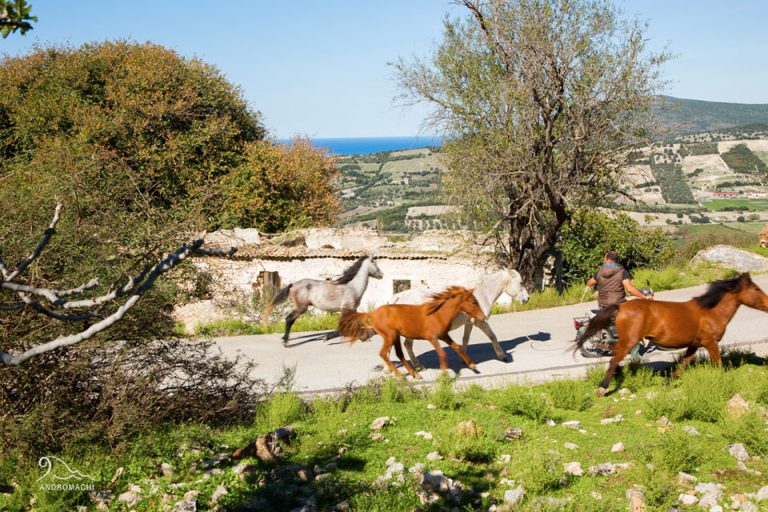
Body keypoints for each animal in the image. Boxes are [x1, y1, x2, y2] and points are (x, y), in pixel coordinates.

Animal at [338, 286, 486, 380]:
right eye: (474, 302)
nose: (483, 317)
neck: (437, 313)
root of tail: (372, 313)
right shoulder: (432, 338)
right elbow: (442, 354)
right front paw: (444, 374)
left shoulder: (444, 335)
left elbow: (457, 347)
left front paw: (472, 365)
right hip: (390, 336)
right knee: (384, 353)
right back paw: (401, 375)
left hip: (395, 336)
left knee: (399, 354)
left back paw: (415, 374)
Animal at [389, 269, 529, 368]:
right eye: (521, 283)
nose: (527, 298)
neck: (481, 294)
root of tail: (398, 297)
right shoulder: (480, 322)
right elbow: (492, 336)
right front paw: (502, 357)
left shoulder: (469, 323)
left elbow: (465, 339)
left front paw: (464, 359)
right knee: (406, 345)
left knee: (406, 345)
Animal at [576, 273, 768, 396]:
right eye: (756, 289)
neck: (711, 311)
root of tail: (621, 307)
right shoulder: (710, 342)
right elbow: (718, 364)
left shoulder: (694, 345)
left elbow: (682, 365)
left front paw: (666, 384)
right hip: (629, 341)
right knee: (613, 358)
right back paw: (603, 387)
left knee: (613, 354)